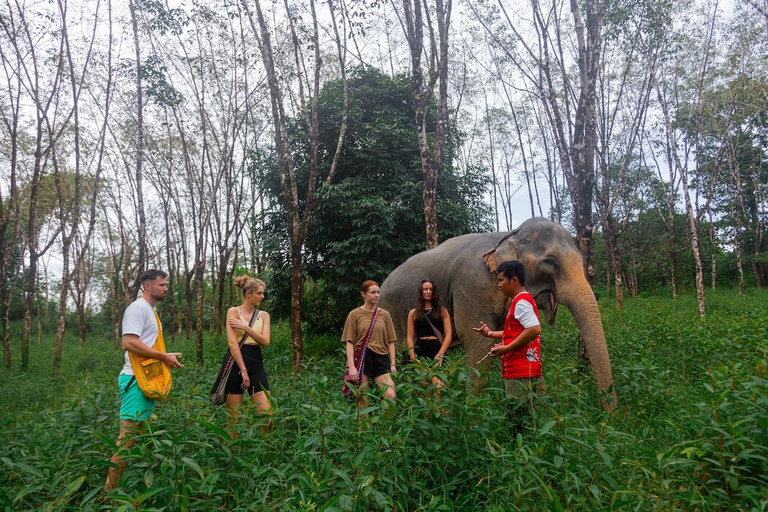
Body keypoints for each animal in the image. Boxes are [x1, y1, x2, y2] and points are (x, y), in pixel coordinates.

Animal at [382, 218, 616, 410]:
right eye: (550, 262)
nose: (611, 416)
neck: (509, 234)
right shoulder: (472, 285)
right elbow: (477, 343)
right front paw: (475, 416)